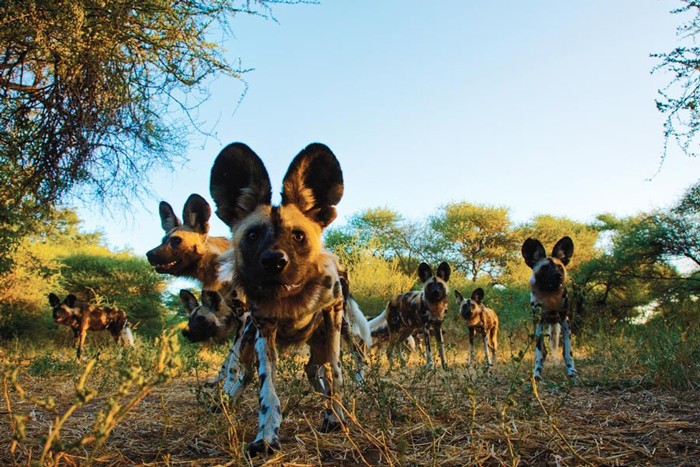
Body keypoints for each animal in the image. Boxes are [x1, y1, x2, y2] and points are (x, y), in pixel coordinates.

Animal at [209, 142, 372, 454]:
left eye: (298, 236)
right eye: (253, 235)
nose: (274, 261)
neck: (291, 298)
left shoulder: (332, 314)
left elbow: (336, 373)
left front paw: (335, 416)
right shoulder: (263, 330)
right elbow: (267, 390)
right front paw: (265, 436)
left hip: (337, 332)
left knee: (330, 365)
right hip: (247, 340)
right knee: (247, 373)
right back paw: (227, 401)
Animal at [524, 238, 576, 380]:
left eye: (560, 267)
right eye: (544, 268)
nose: (558, 275)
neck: (550, 295)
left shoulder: (565, 321)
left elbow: (567, 352)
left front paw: (571, 371)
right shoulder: (539, 323)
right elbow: (538, 353)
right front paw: (536, 372)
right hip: (538, 329)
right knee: (543, 351)